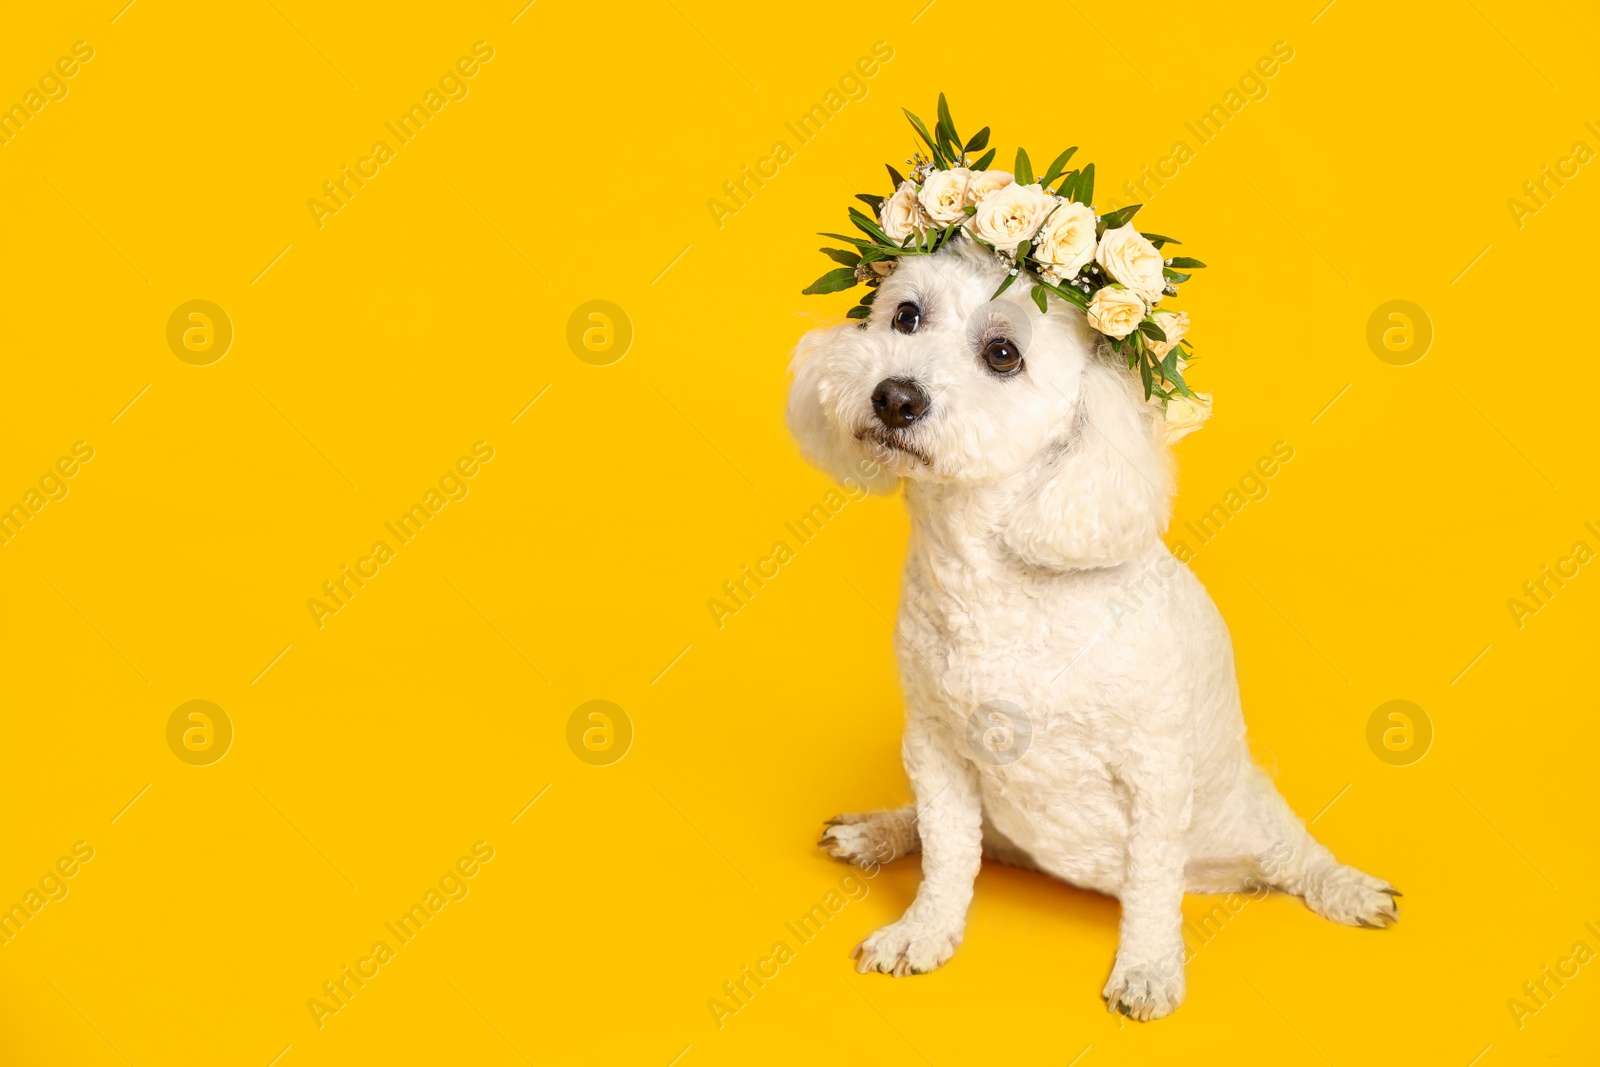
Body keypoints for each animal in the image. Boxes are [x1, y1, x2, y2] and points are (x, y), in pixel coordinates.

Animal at [793, 239, 1395, 1017]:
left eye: (1002, 354)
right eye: (904, 316)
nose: (895, 396)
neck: (991, 575)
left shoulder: (1156, 770)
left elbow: (1151, 884)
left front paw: (1148, 966)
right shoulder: (935, 747)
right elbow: (949, 852)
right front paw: (923, 930)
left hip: (1251, 816)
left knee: (1294, 858)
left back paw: (1344, 888)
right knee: (954, 836)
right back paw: (879, 830)